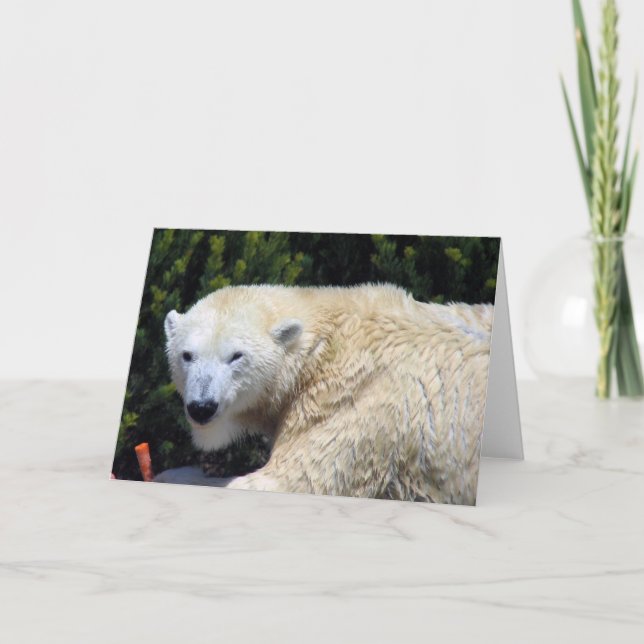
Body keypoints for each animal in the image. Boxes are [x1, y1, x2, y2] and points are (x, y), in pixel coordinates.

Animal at [163, 284, 493, 505]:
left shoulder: (351, 401)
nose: (202, 406)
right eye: (187, 355)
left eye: (235, 356)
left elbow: (291, 480)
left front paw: (174, 475)